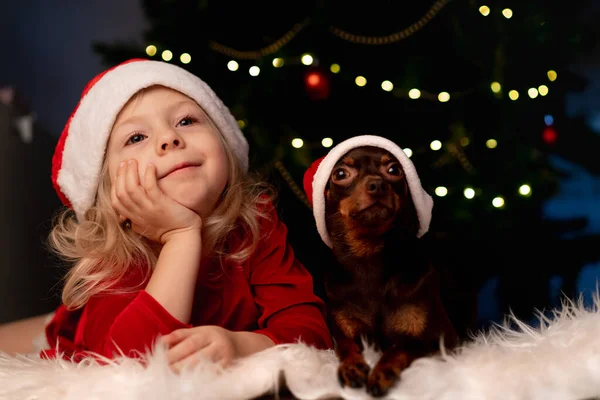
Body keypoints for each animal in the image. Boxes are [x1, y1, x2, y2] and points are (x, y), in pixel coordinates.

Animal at [302, 137, 462, 396]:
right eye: (340, 174)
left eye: (394, 170)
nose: (377, 185)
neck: (370, 257)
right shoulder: (344, 331)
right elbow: (346, 346)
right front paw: (352, 367)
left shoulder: (439, 340)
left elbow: (400, 347)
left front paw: (382, 372)